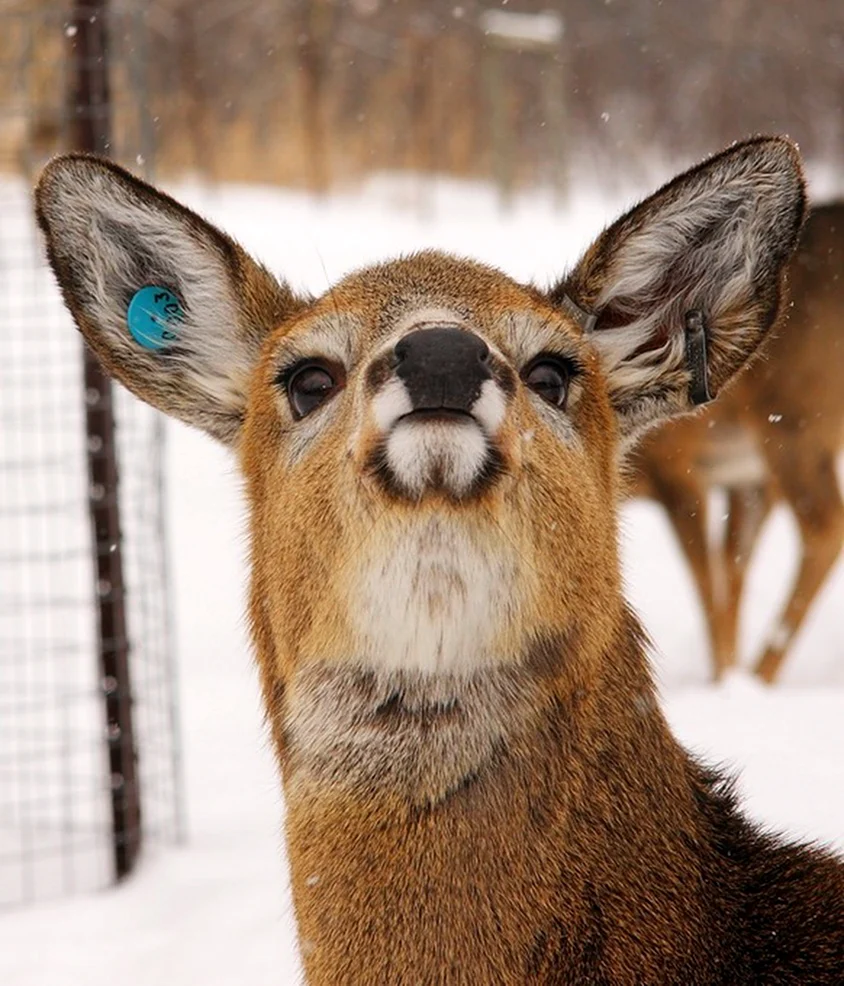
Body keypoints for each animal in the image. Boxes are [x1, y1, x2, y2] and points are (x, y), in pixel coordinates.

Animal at [628, 204, 844, 680]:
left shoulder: (679, 467)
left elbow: (708, 587)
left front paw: (722, 681)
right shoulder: (741, 479)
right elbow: (732, 577)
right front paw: (727, 676)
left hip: (795, 423)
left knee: (825, 524)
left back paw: (764, 674)